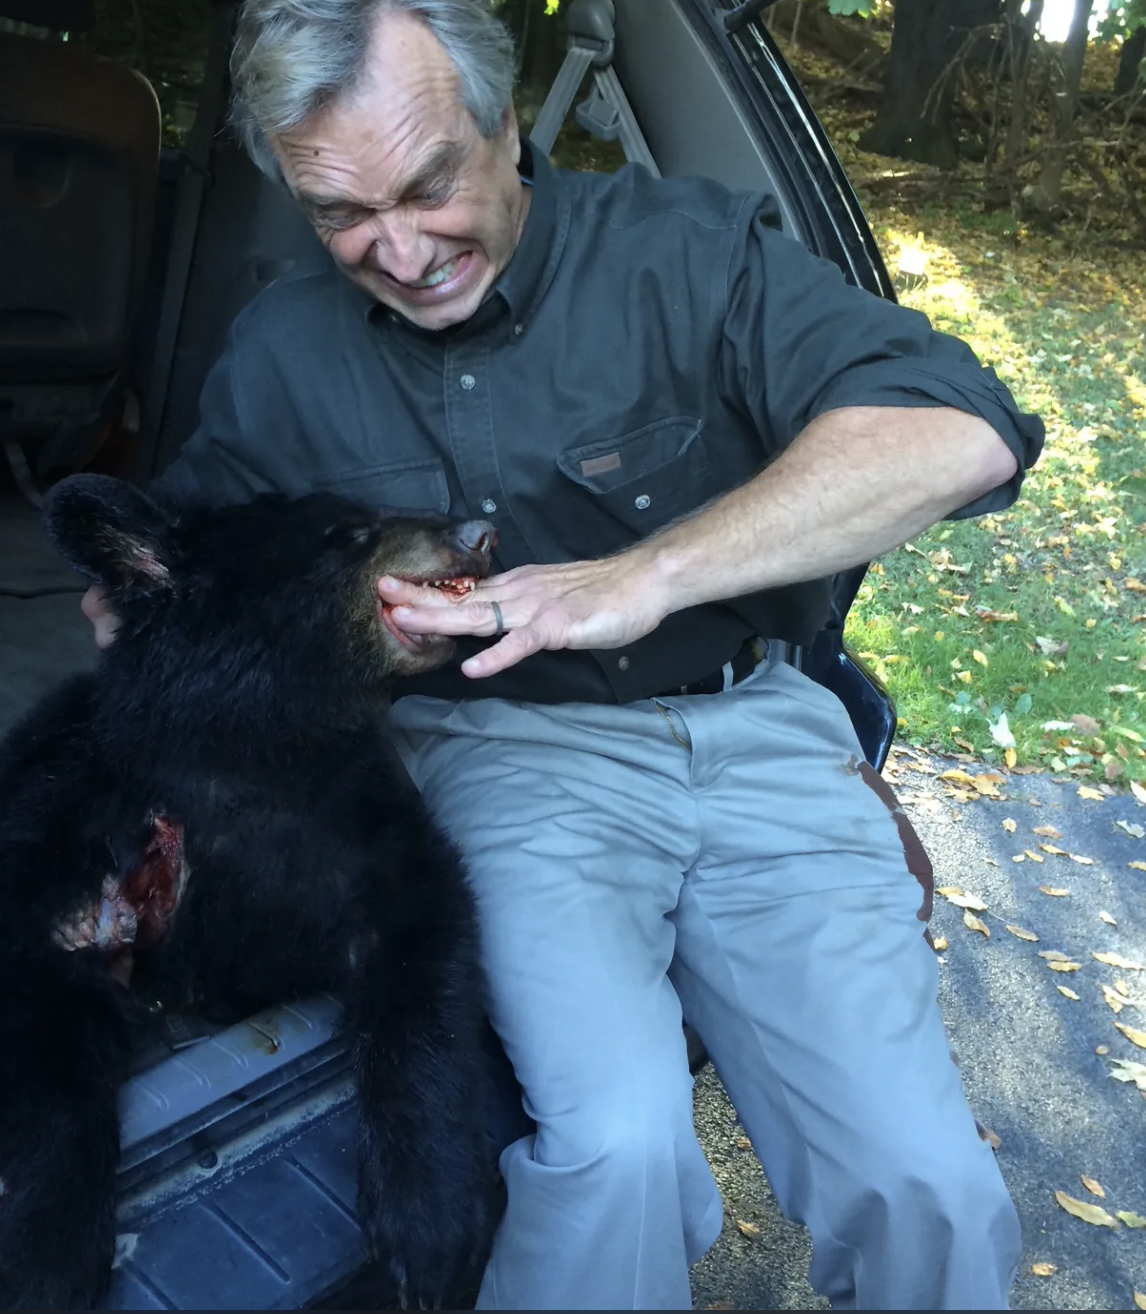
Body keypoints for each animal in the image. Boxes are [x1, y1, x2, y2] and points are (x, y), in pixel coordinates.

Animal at [1, 478, 502, 1308]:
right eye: (348, 533)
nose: (479, 532)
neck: (248, 744)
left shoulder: (355, 822)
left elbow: (426, 966)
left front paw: (431, 1230)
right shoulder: (65, 826)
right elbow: (48, 1043)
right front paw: (45, 1264)